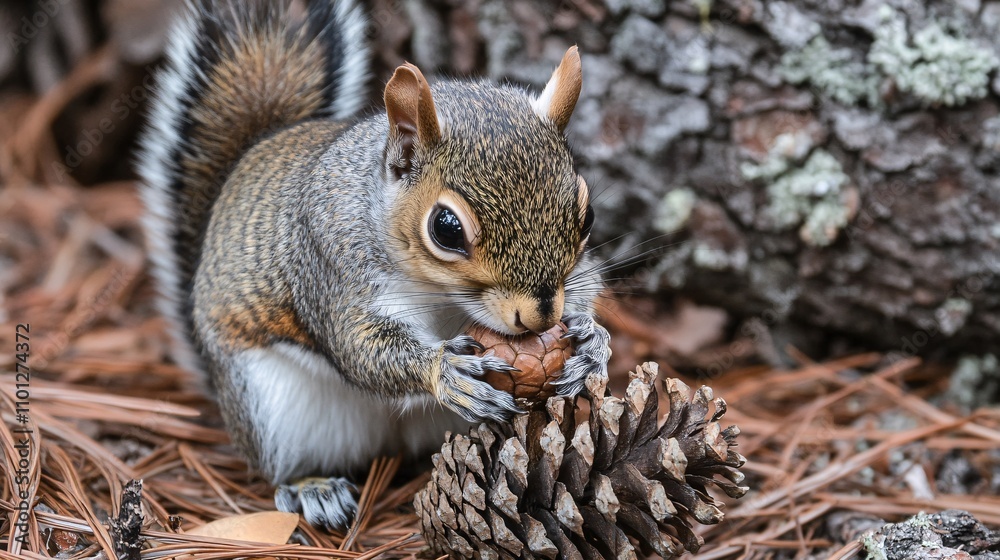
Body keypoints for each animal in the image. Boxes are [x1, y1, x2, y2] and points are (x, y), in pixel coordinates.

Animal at [138, 0, 611, 530]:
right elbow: (359, 347)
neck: (438, 292)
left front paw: (593, 342)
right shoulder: (327, 266)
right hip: (271, 409)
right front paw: (443, 371)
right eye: (446, 228)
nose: (541, 317)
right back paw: (311, 489)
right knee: (275, 466)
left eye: (587, 214)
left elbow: (588, 288)